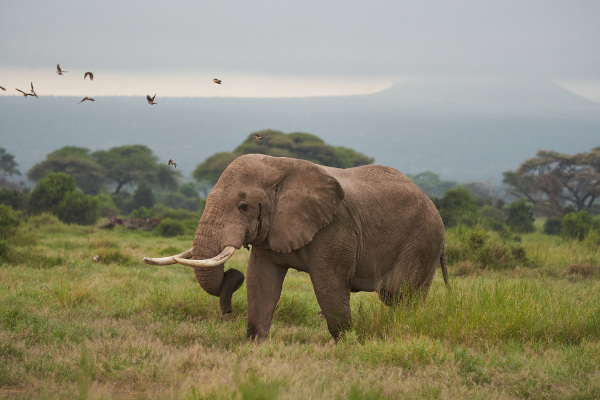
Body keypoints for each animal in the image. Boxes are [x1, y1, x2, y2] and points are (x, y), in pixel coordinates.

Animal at [143, 153, 448, 340]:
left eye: (243, 207)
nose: (227, 311)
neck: (279, 167)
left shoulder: (335, 227)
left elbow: (328, 285)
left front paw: (347, 345)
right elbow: (260, 283)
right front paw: (254, 346)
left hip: (422, 240)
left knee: (397, 293)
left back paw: (403, 330)